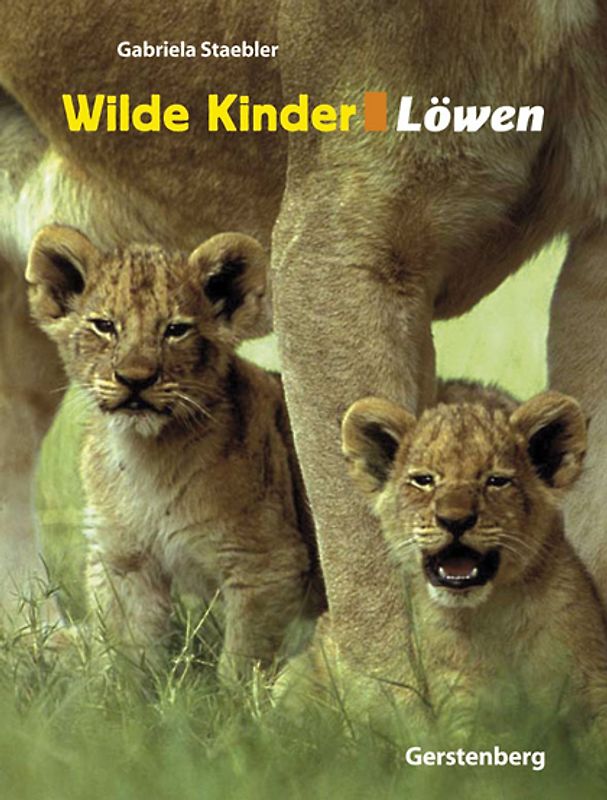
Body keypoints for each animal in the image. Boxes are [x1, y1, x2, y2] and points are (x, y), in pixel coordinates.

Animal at [26, 224, 324, 680]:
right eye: (104, 325)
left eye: (176, 330)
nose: (135, 378)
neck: (146, 455)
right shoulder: (125, 560)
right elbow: (126, 656)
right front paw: (121, 697)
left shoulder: (266, 565)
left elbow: (241, 663)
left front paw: (238, 701)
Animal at [278, 382, 607, 744]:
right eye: (424, 480)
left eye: (496, 481)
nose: (455, 520)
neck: (494, 613)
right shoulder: (458, 698)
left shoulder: (593, 676)